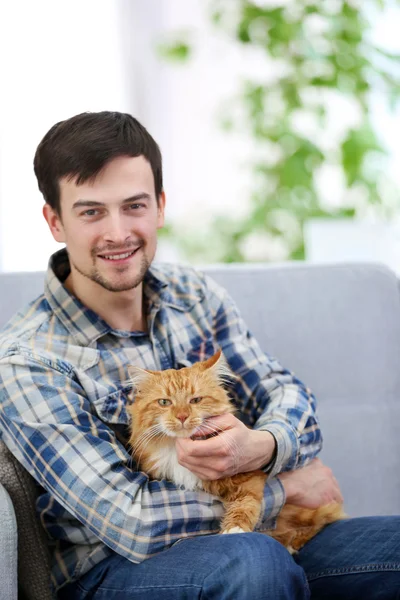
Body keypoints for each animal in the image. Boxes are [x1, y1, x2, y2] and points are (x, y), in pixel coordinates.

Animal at [126, 352, 346, 552]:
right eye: (164, 402)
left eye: (195, 400)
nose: (181, 416)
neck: (176, 447)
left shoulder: (249, 477)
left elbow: (246, 504)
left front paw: (235, 529)